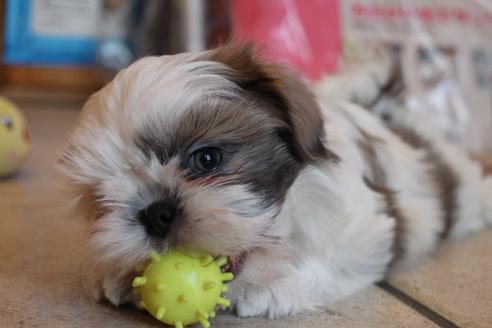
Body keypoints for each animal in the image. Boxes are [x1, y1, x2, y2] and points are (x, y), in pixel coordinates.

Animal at [60, 43, 492, 318]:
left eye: (207, 159)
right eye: (101, 199)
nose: (155, 212)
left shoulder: (370, 233)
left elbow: (332, 260)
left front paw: (272, 287)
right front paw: (118, 275)